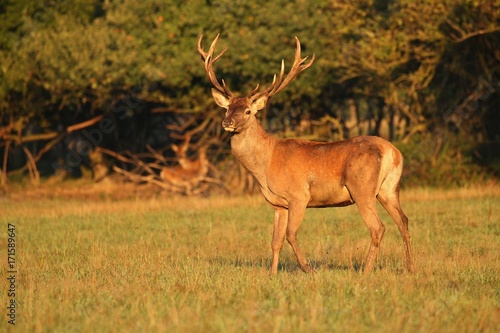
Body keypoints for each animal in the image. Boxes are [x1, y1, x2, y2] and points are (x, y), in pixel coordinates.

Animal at [197, 33, 416, 274]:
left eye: (247, 111)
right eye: (227, 109)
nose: (227, 122)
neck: (266, 164)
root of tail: (393, 153)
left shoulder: (299, 195)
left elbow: (291, 235)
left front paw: (308, 268)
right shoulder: (278, 204)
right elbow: (275, 241)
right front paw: (272, 274)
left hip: (362, 188)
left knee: (378, 227)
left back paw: (365, 270)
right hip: (389, 189)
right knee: (403, 221)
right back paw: (410, 268)